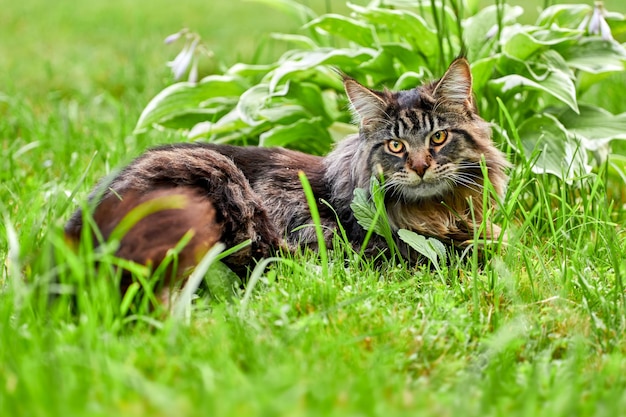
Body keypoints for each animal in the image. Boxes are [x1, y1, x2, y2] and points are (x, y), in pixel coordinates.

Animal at [64, 57, 508, 296]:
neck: (437, 211)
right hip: (218, 174)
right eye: (396, 146)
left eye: (438, 137)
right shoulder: (380, 250)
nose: (419, 167)